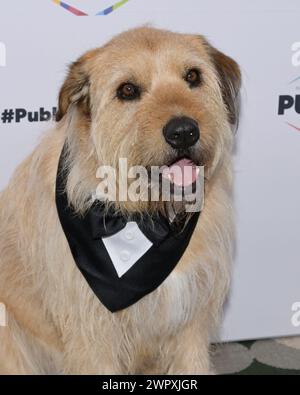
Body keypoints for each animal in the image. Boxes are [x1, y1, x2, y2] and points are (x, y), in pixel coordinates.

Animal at [0, 27, 240, 374]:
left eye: (193, 76)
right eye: (127, 90)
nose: (184, 132)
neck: (146, 215)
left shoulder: (190, 322)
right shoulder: (93, 334)